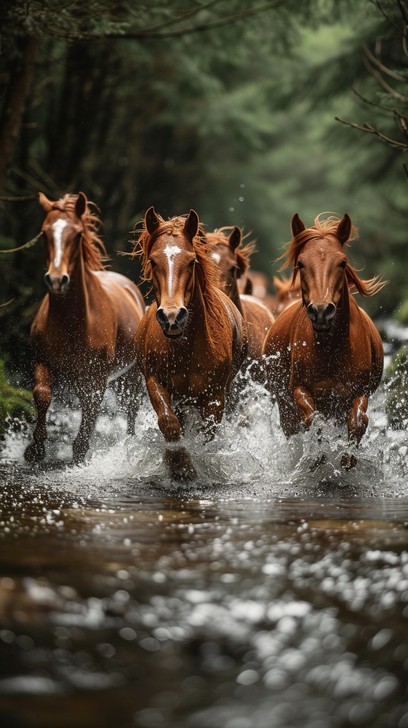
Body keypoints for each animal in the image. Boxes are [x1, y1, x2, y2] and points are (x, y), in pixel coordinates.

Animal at [25, 192, 145, 464]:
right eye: (44, 233)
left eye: (78, 234)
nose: (56, 280)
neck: (74, 322)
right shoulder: (42, 361)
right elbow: (42, 394)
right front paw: (35, 449)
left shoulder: (97, 377)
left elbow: (92, 408)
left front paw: (80, 453)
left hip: (130, 374)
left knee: (130, 407)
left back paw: (130, 442)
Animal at [133, 207, 248, 479]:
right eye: (153, 261)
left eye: (192, 261)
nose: (172, 317)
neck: (184, 348)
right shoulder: (155, 381)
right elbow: (168, 422)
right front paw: (178, 465)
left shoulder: (214, 395)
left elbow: (206, 433)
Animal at [263, 212, 386, 469]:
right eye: (301, 263)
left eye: (342, 262)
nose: (321, 311)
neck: (332, 350)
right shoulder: (299, 389)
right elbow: (312, 418)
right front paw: (318, 455)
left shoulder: (358, 392)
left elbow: (358, 421)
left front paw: (348, 458)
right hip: (283, 404)